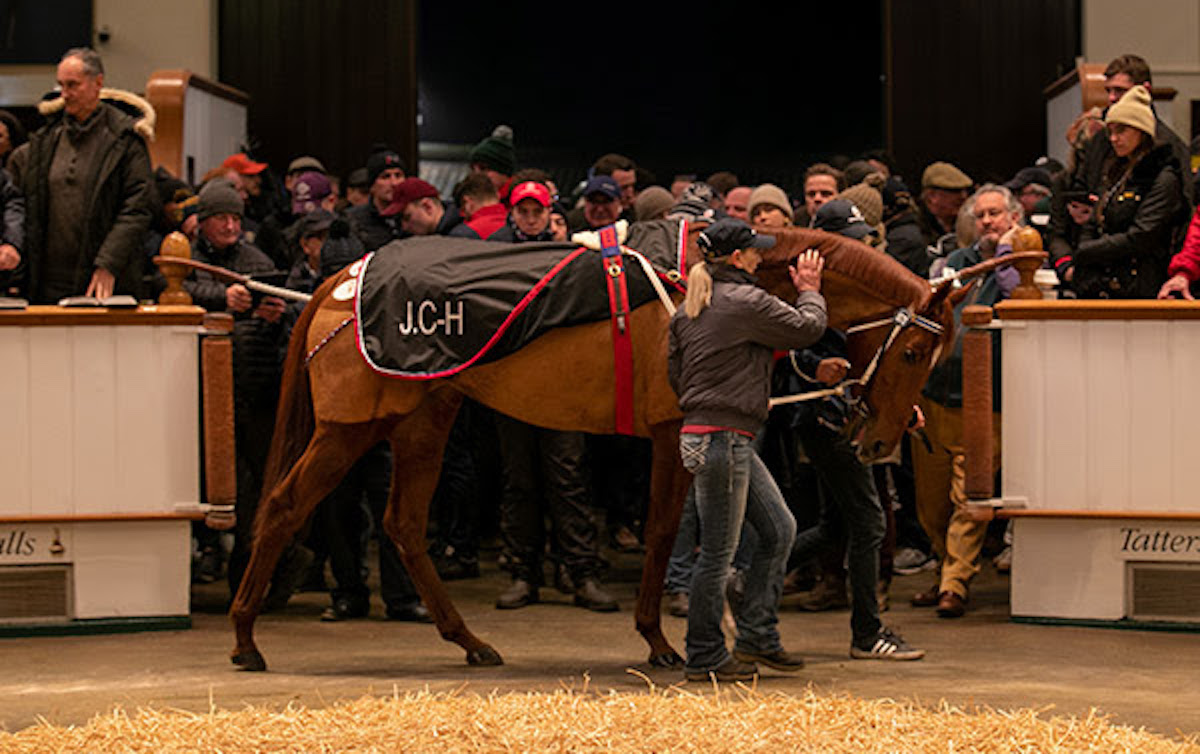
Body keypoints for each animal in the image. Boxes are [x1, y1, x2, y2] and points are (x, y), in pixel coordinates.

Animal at [226, 225, 955, 672]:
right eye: (913, 352)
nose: (882, 440)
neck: (694, 280)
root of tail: (340, 281)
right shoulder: (671, 435)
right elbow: (665, 534)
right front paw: (661, 641)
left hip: (423, 418)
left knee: (403, 525)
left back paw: (470, 641)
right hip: (351, 427)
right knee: (284, 508)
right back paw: (245, 638)